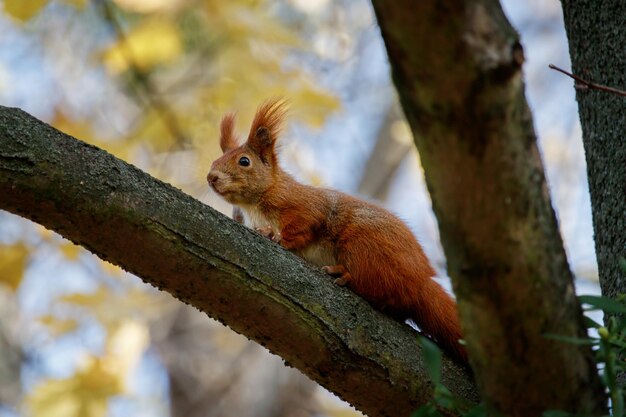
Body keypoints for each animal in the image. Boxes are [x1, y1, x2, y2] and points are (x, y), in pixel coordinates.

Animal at [205, 99, 464, 362]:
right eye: (216, 160)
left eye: (244, 161)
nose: (211, 177)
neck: (255, 205)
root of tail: (422, 279)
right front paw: (268, 231)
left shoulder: (304, 206)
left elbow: (303, 226)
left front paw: (277, 237)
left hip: (365, 246)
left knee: (381, 287)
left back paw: (345, 275)